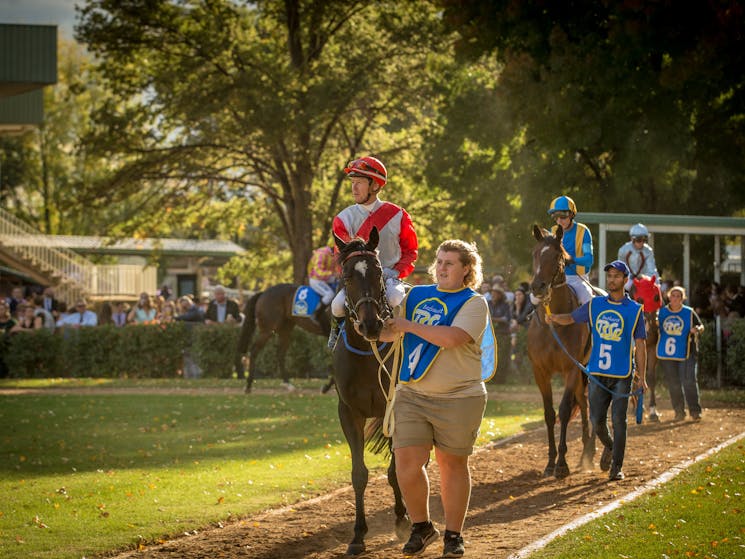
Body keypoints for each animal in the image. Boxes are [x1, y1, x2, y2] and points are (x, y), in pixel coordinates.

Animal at [528, 225, 592, 480]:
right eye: (535, 254)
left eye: (557, 256)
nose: (537, 287)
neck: (553, 323)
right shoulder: (540, 372)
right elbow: (549, 414)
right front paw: (550, 461)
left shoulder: (571, 368)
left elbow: (564, 411)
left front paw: (562, 464)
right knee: (583, 402)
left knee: (587, 404)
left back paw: (591, 453)